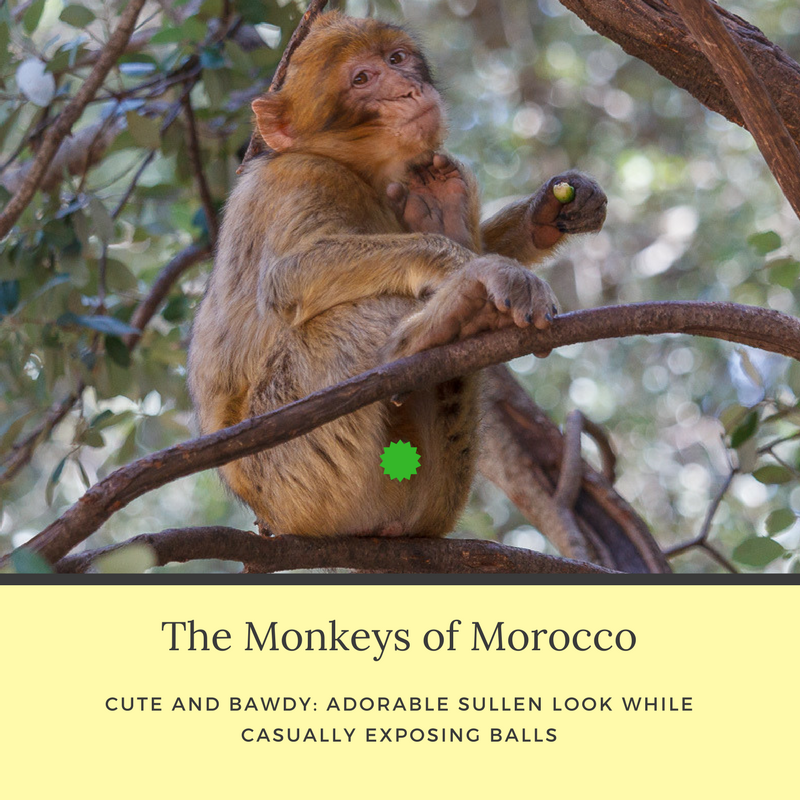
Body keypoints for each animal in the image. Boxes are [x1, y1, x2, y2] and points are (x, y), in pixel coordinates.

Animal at [187, 12, 606, 538]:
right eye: (362, 79)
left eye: (397, 58)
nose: (408, 89)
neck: (356, 169)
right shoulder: (302, 177)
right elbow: (288, 278)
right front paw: (474, 268)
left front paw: (544, 215)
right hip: (295, 473)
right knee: (347, 316)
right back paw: (433, 325)